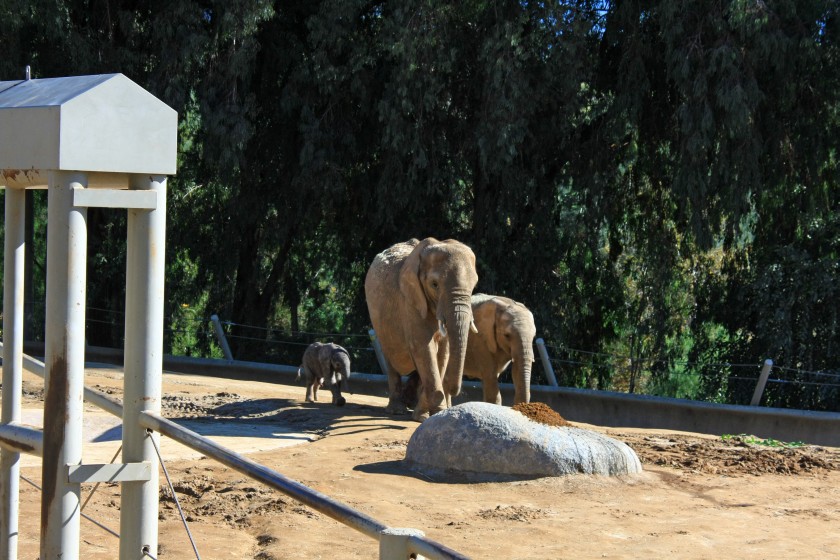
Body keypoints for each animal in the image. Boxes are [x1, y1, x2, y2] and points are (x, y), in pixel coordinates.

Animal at [366, 235, 480, 420]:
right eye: (434, 284)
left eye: (473, 286)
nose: (455, 389)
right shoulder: (409, 301)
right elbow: (424, 349)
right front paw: (427, 415)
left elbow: (443, 352)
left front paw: (429, 413)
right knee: (390, 358)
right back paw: (397, 409)